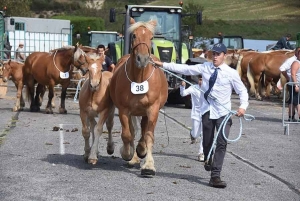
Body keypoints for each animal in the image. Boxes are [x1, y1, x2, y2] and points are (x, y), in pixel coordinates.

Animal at [109, 18, 169, 176]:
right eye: (134, 35)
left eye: (151, 37)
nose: (142, 59)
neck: (140, 79)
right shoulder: (124, 110)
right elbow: (127, 134)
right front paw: (128, 153)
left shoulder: (152, 110)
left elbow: (148, 136)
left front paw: (148, 165)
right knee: (132, 131)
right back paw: (133, 156)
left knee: (142, 130)